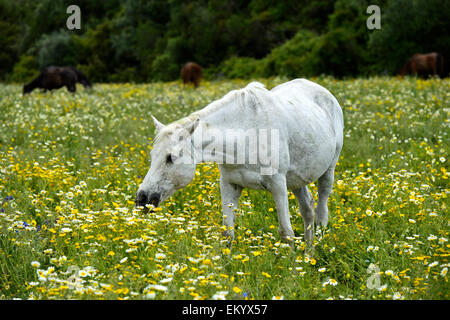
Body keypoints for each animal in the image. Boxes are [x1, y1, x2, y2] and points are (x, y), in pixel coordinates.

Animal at [135, 79, 342, 245]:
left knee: (321, 215)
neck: (246, 134)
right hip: (297, 180)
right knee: (308, 210)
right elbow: (227, 234)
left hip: (327, 172)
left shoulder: (278, 185)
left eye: (170, 158)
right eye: (153, 156)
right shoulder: (229, 184)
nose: (142, 199)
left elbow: (286, 234)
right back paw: (308, 255)